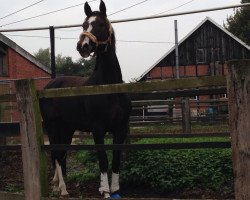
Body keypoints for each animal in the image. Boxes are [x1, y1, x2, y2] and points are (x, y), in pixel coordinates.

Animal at [39, 0, 131, 198]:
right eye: (83, 25)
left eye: (100, 24)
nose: (83, 46)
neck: (109, 88)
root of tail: (48, 87)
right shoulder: (98, 129)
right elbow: (103, 159)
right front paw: (105, 191)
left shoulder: (120, 129)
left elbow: (116, 159)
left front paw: (115, 189)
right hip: (53, 126)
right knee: (57, 153)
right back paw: (63, 188)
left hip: (67, 128)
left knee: (62, 153)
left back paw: (57, 185)